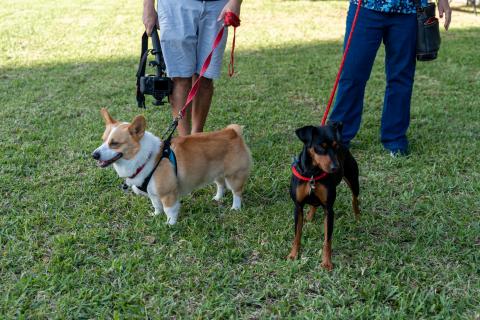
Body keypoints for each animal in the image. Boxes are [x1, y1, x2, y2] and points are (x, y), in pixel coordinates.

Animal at [91, 109, 253, 224]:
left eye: (114, 143)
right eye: (103, 140)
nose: (94, 155)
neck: (145, 158)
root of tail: (232, 132)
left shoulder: (168, 194)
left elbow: (170, 211)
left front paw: (170, 224)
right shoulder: (153, 193)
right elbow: (156, 206)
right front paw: (156, 215)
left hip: (234, 176)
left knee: (237, 192)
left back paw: (235, 208)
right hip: (216, 173)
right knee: (220, 185)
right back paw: (218, 198)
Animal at [284, 122, 360, 270]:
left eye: (336, 147)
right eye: (321, 146)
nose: (336, 167)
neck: (312, 174)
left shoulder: (329, 210)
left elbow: (327, 240)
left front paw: (327, 262)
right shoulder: (298, 207)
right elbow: (297, 235)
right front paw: (293, 255)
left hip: (353, 179)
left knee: (355, 198)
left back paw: (358, 216)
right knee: (314, 204)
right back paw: (309, 217)